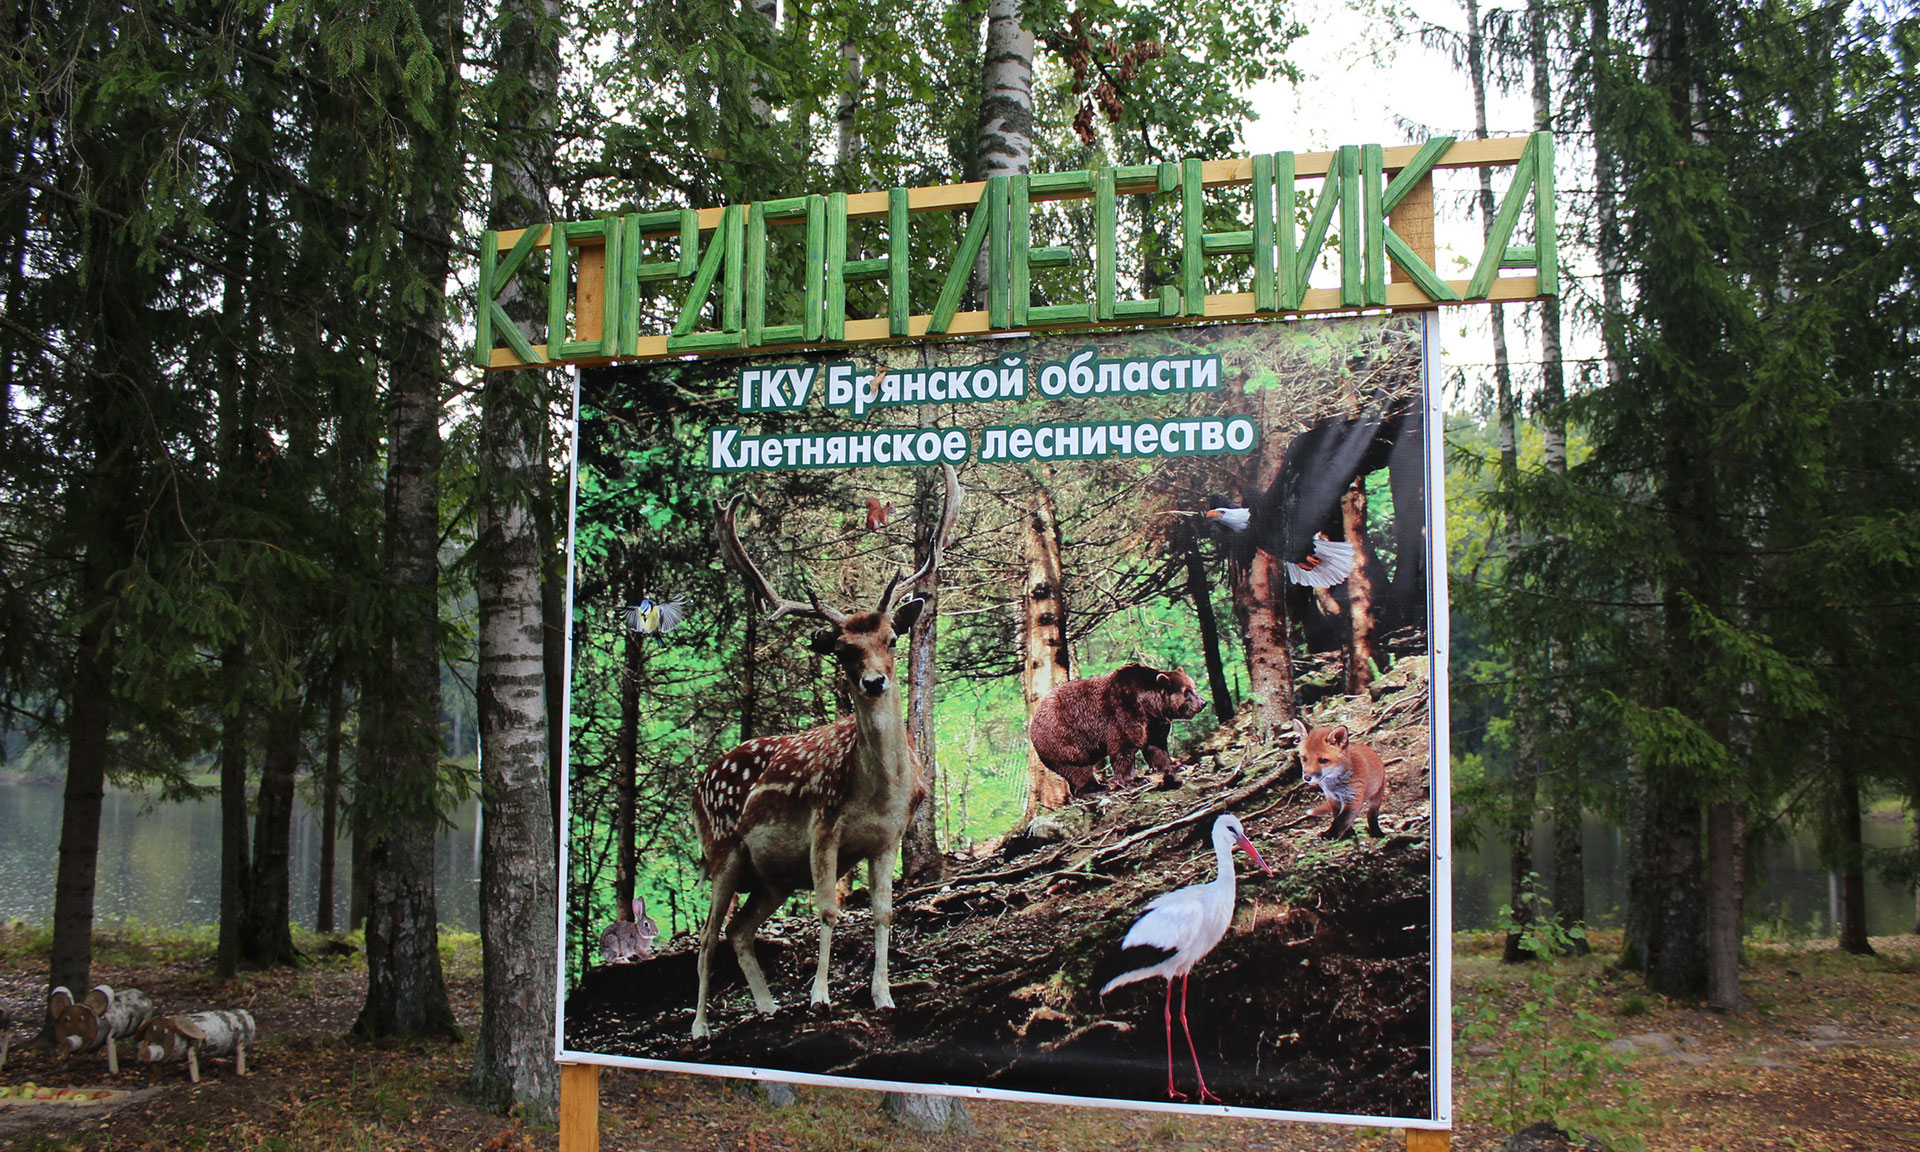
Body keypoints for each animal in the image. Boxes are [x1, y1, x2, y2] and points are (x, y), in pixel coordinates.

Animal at [691, 462, 960, 1036]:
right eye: (841, 651)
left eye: (891, 639)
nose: (875, 682)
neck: (879, 794)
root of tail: (698, 784)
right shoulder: (822, 825)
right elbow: (829, 911)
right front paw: (819, 998)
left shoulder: (887, 839)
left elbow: (883, 911)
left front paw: (883, 996)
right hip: (722, 849)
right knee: (707, 936)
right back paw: (701, 1027)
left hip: (770, 878)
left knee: (739, 930)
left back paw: (768, 1007)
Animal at [1036, 660, 1198, 794]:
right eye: (1187, 692)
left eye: (1194, 687)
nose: (1201, 702)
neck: (1147, 705)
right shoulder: (1122, 712)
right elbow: (1123, 747)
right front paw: (1136, 780)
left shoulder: (1153, 724)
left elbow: (1156, 747)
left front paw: (1177, 766)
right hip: (1063, 739)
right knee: (1077, 767)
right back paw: (1096, 787)